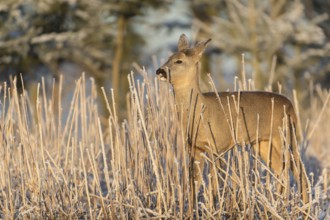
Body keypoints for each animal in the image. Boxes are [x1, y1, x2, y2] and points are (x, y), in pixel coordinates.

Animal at [156, 34, 310, 205]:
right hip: (262, 143)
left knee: (299, 171)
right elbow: (194, 183)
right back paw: (277, 202)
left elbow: (214, 184)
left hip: (286, 135)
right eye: (169, 58)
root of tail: (291, 106)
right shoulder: (194, 147)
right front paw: (192, 207)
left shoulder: (217, 146)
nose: (160, 71)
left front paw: (213, 206)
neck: (200, 112)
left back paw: (304, 206)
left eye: (179, 61)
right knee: (280, 169)